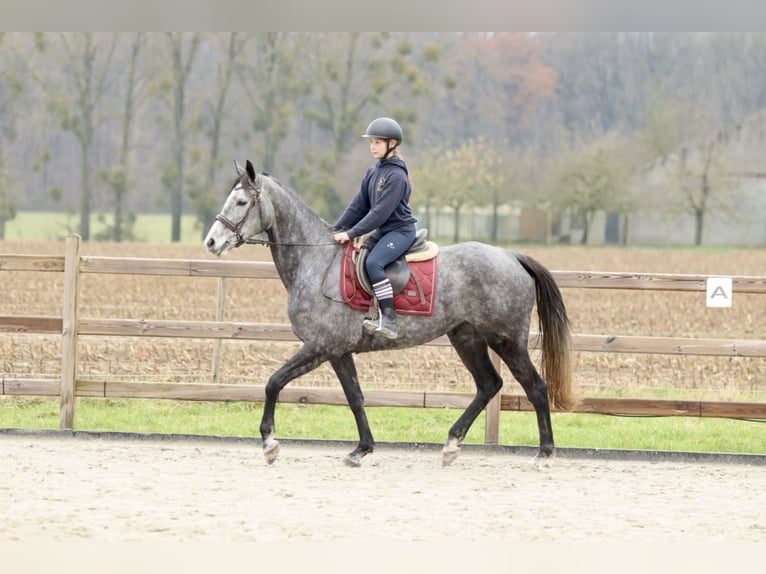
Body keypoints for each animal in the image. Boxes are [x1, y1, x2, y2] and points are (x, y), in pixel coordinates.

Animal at [204, 160, 576, 470]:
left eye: (241, 202)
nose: (211, 242)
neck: (315, 262)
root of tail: (511, 257)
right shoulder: (338, 351)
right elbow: (355, 397)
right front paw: (361, 449)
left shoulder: (320, 345)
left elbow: (273, 383)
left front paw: (269, 443)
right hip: (466, 338)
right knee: (489, 384)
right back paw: (451, 445)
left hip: (506, 340)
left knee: (535, 387)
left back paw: (544, 454)